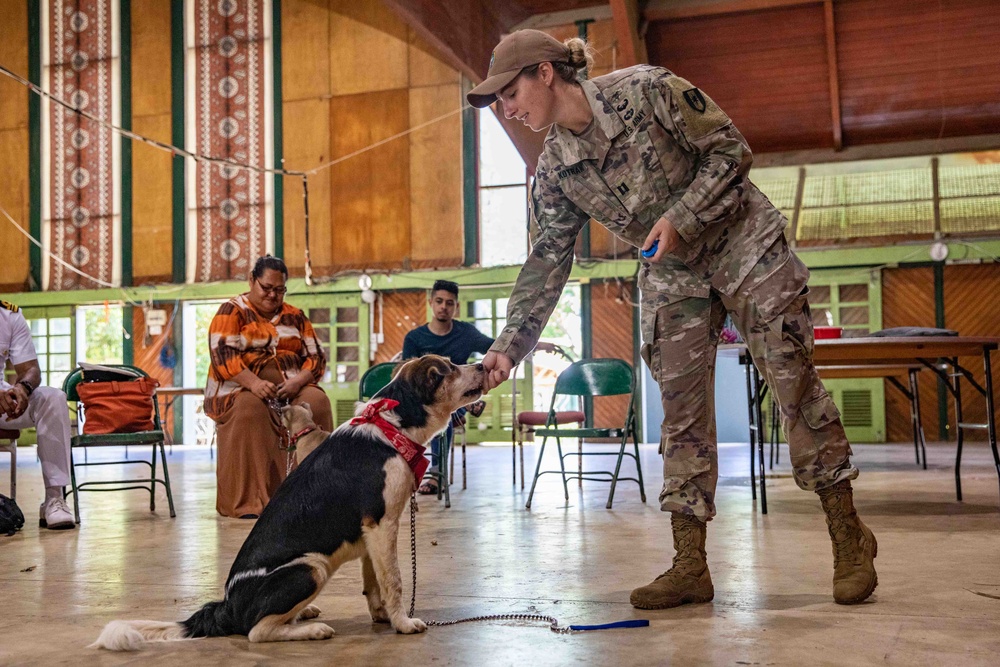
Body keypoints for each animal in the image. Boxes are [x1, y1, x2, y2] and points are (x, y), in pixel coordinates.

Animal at [93, 358, 484, 648]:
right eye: (445, 370)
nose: (482, 365)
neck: (391, 429)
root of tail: (227, 608)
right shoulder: (382, 523)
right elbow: (395, 581)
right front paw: (403, 622)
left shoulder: (372, 534)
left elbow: (375, 583)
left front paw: (384, 617)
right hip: (311, 569)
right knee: (256, 631)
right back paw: (311, 630)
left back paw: (304, 616)